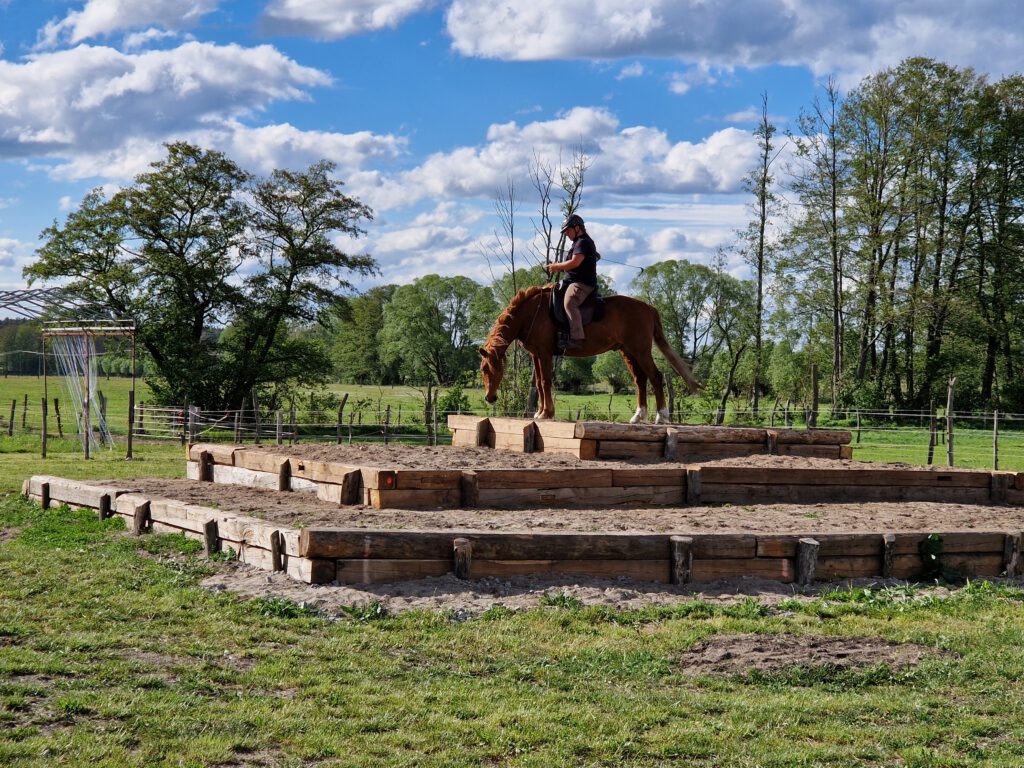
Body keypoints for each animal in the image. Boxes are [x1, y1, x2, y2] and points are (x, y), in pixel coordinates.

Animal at [481, 286, 704, 423]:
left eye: (489, 369)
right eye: (483, 370)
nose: (490, 398)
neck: (531, 313)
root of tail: (647, 307)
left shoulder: (544, 354)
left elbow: (545, 382)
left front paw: (546, 413)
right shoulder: (536, 355)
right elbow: (538, 383)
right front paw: (540, 412)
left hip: (640, 350)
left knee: (656, 377)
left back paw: (661, 416)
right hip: (628, 351)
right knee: (640, 380)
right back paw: (638, 416)